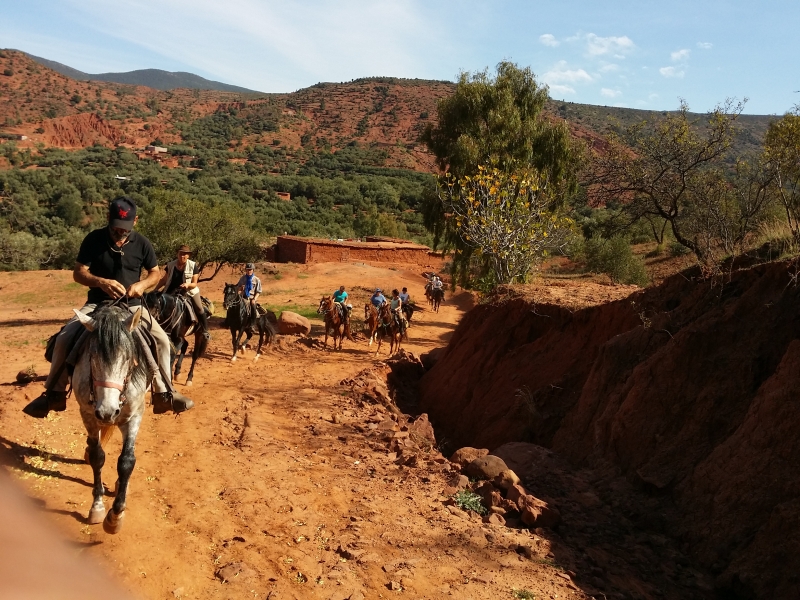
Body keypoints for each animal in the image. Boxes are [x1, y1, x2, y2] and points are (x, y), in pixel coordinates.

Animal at [71, 304, 151, 536]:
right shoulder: (88, 416)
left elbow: (126, 462)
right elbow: (97, 457)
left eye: (127, 358)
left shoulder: (135, 415)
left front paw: (115, 516)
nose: (108, 412)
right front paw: (97, 506)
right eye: (92, 357)